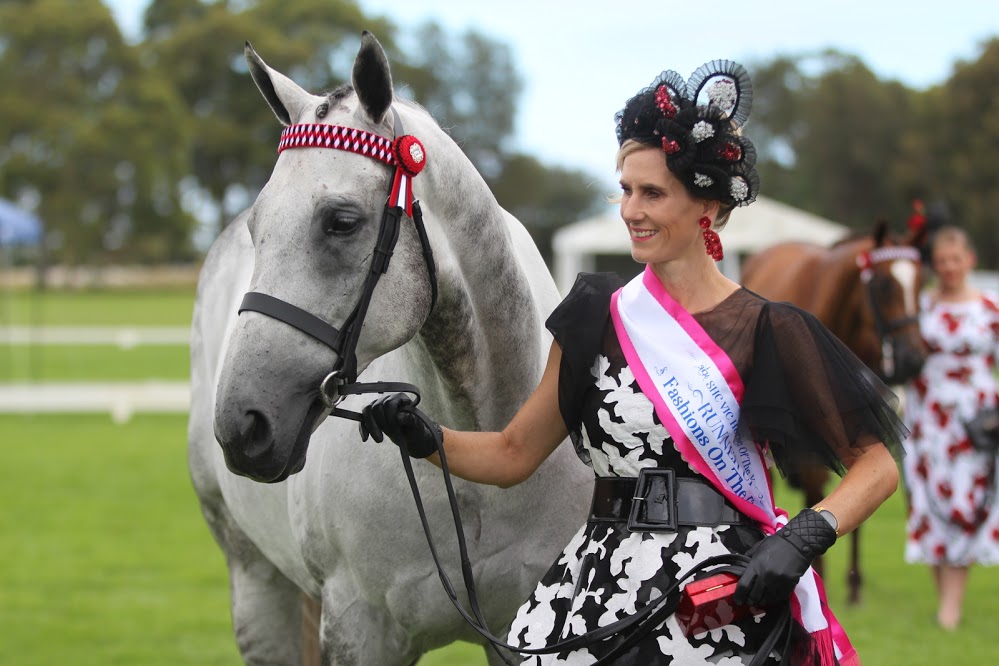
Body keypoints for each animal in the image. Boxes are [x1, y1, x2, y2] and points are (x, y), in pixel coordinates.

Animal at [188, 32, 592, 664]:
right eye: (258, 227)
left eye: (341, 221)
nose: (241, 423)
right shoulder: (360, 628)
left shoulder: (521, 633)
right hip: (255, 584)